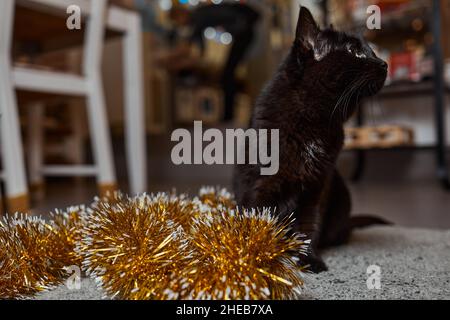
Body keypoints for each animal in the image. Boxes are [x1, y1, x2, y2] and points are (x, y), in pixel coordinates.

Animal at [234, 6, 388, 272]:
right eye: (354, 52)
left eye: (372, 50)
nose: (384, 63)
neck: (315, 124)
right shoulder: (259, 183)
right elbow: (257, 217)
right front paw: (252, 260)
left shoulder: (318, 185)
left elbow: (309, 225)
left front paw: (309, 259)